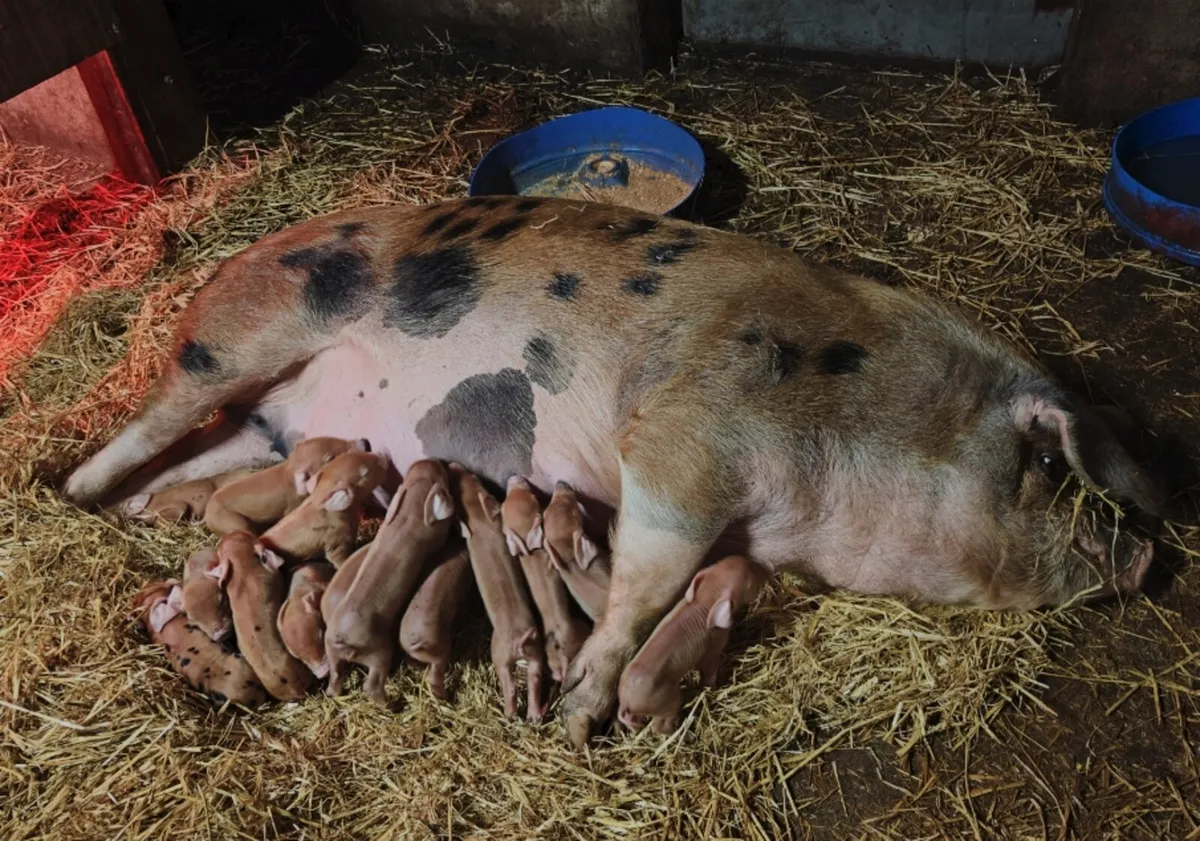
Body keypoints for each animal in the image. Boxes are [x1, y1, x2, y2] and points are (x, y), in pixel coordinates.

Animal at [324, 458, 456, 705]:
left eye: (416, 470)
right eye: (440, 476)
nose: (432, 459)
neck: (409, 512)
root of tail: (341, 638)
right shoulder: (434, 537)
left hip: (332, 653)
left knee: (335, 676)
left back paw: (333, 694)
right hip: (379, 652)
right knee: (371, 685)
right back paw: (392, 705)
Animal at [453, 464, 549, 723]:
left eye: (472, 478)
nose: (453, 466)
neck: (478, 518)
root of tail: (518, 640)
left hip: (499, 655)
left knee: (512, 687)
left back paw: (509, 715)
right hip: (535, 654)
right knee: (534, 680)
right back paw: (533, 717)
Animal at [617, 555, 768, 735]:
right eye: (749, 581)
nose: (768, 570)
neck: (705, 600)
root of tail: (626, 701)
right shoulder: (712, 649)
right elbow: (708, 672)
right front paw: (713, 688)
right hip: (666, 701)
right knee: (659, 725)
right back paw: (681, 732)